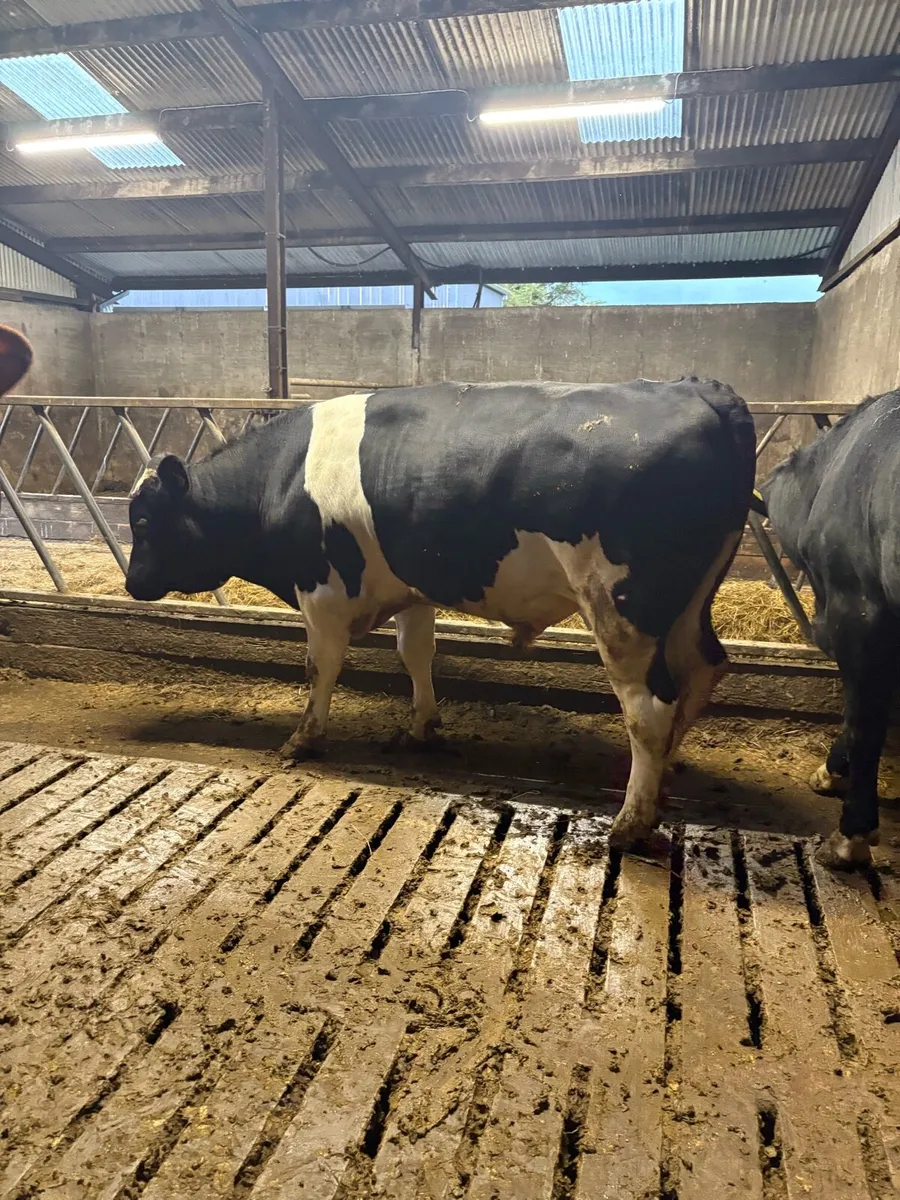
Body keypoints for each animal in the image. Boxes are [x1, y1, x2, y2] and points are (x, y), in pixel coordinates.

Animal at [125, 378, 757, 850]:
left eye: (143, 521)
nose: (132, 584)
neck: (278, 480)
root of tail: (700, 389)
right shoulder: (413, 590)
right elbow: (416, 655)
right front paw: (421, 727)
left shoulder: (323, 591)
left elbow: (319, 668)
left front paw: (303, 739)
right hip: (689, 603)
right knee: (701, 673)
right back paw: (664, 780)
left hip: (622, 606)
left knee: (648, 707)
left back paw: (630, 823)